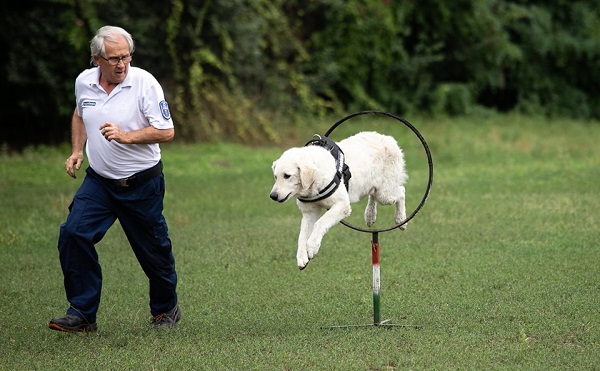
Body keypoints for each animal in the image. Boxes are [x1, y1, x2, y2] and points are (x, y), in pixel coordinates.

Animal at [270, 132, 408, 270]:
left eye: (287, 176)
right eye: (276, 177)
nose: (273, 196)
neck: (315, 180)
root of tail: (389, 138)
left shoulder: (342, 205)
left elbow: (320, 223)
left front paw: (312, 247)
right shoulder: (309, 213)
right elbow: (302, 236)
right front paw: (302, 257)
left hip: (385, 194)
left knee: (401, 191)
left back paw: (400, 219)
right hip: (374, 187)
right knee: (373, 195)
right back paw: (370, 215)